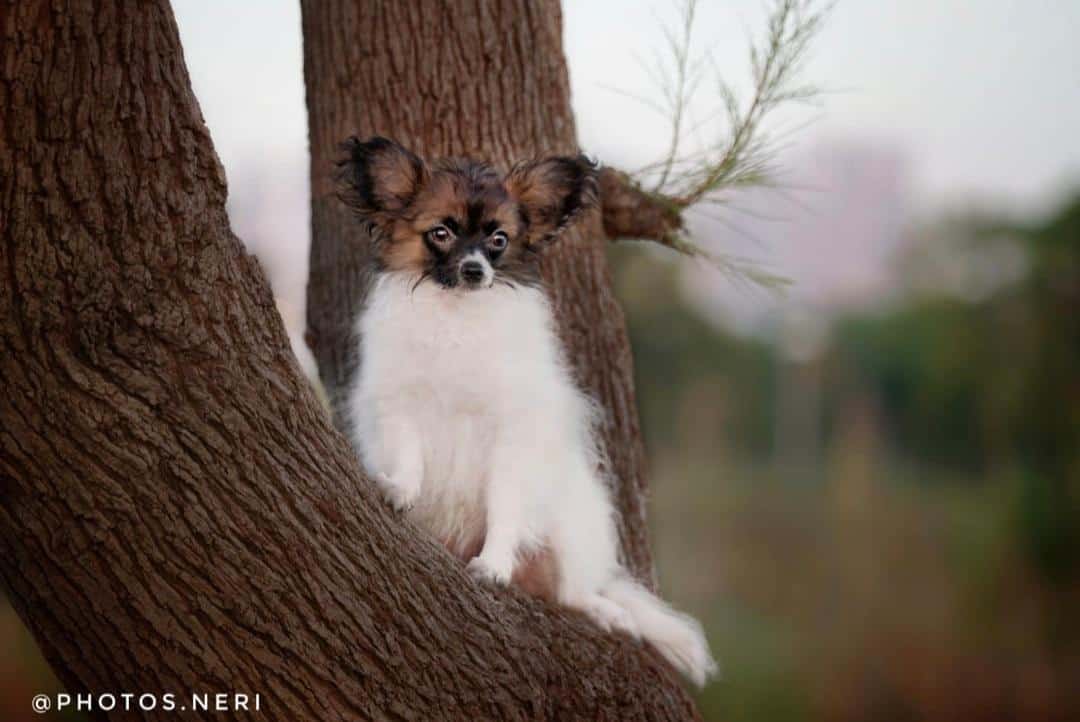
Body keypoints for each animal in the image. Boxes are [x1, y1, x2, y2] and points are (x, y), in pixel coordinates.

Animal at [341, 136, 721, 686]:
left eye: (499, 240)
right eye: (441, 233)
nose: (475, 270)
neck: (458, 319)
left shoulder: (510, 440)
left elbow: (504, 508)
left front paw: (494, 565)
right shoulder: (401, 408)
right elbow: (410, 461)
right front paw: (400, 490)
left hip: (567, 532)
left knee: (575, 591)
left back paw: (607, 610)